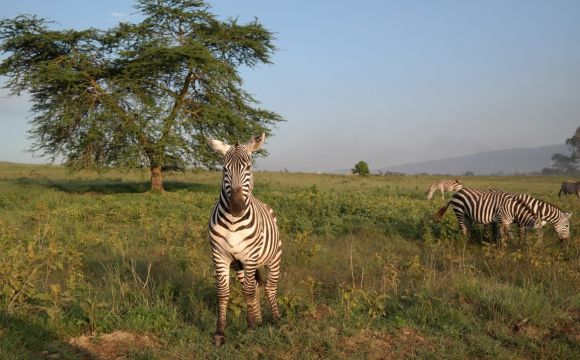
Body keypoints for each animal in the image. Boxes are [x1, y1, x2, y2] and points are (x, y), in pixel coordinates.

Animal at [207, 134, 282, 346]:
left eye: (248, 167)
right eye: (225, 169)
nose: (236, 207)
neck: (233, 223)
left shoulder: (250, 256)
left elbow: (248, 292)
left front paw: (250, 329)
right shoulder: (220, 256)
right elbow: (223, 292)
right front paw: (220, 333)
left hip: (273, 258)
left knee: (269, 288)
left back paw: (276, 319)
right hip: (239, 264)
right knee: (255, 287)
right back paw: (259, 319)